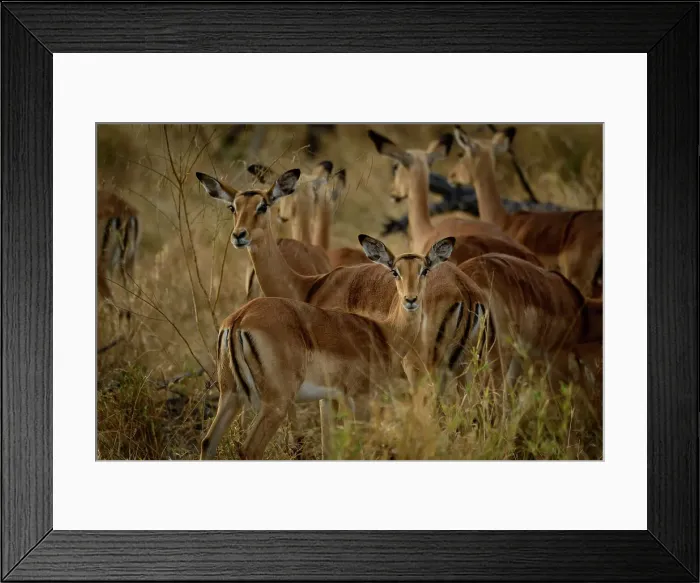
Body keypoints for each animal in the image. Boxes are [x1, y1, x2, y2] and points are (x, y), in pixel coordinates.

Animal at [200, 235, 458, 460]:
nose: (411, 300)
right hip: (275, 403)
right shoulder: (361, 398)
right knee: (249, 450)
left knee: (207, 442)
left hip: (231, 396)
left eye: (424, 270)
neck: (383, 333)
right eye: (395, 271)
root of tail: (239, 319)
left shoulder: (327, 399)